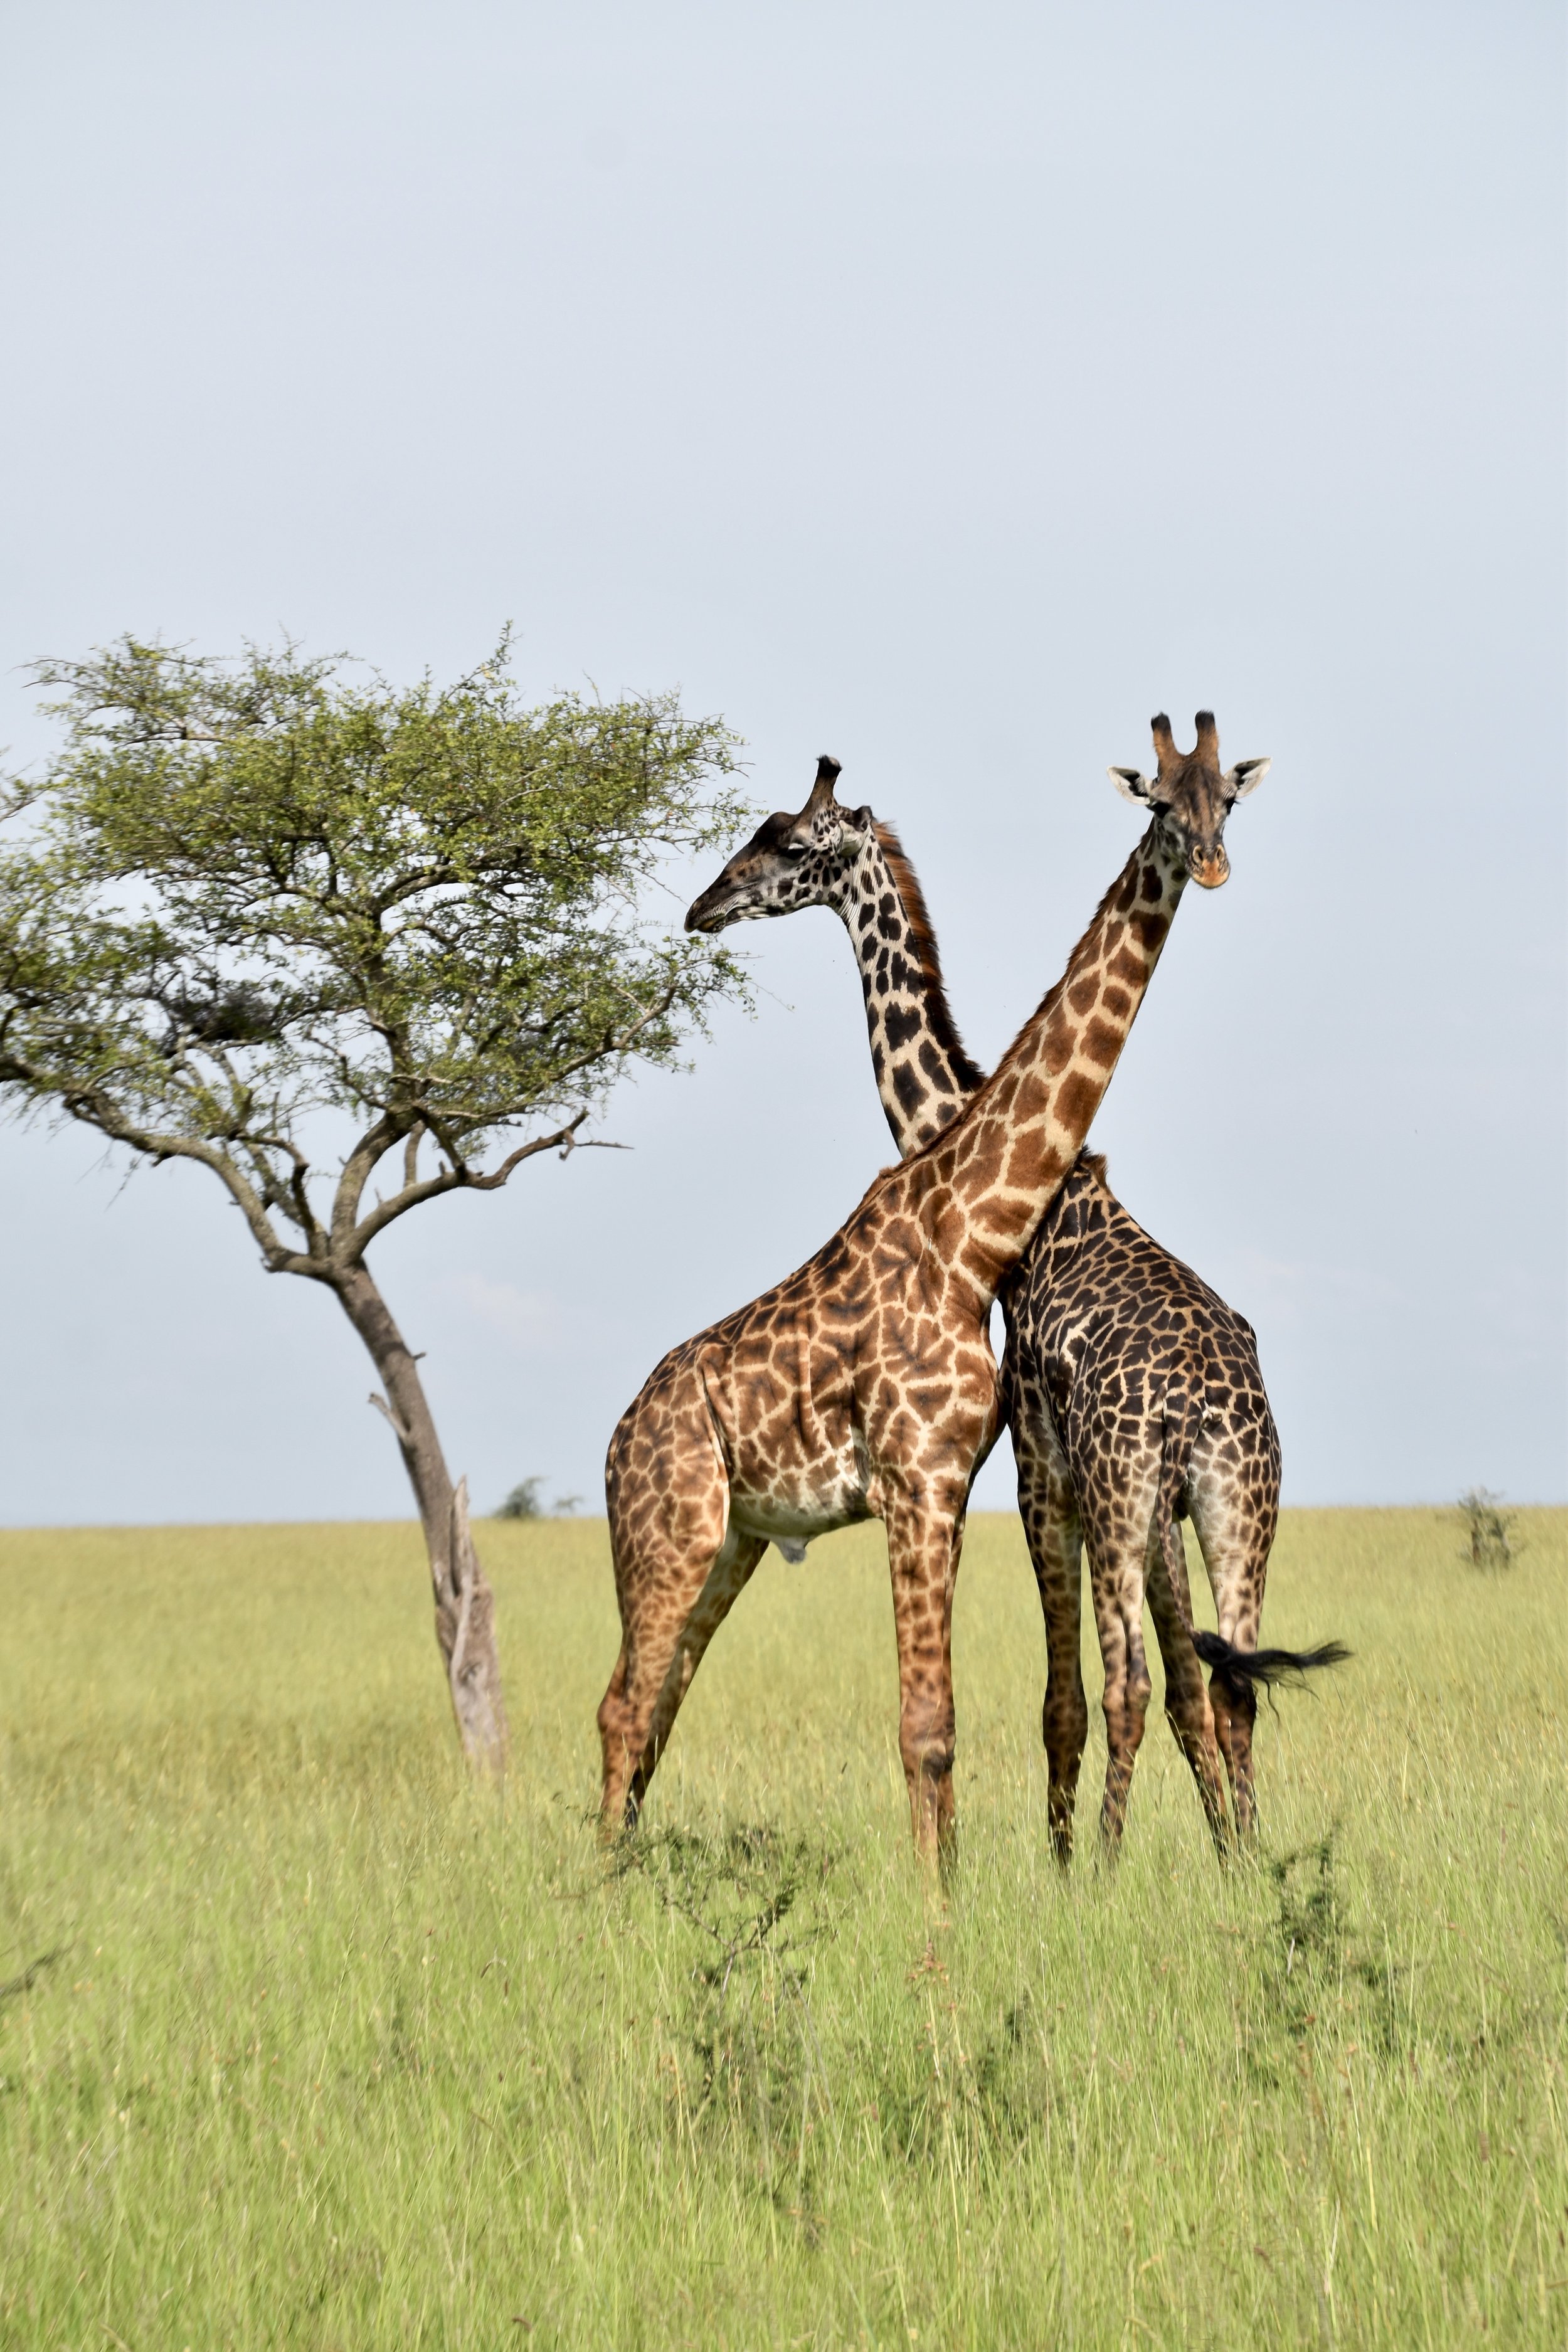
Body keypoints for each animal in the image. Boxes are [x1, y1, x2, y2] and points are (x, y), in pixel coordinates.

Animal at [599, 717, 1268, 1863]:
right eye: (1159, 801)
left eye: (785, 843)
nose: (703, 906)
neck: (971, 1222)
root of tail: (617, 1438)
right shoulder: (963, 1477)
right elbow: (961, 1722)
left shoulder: (975, 1477)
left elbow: (976, 1719)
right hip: (680, 1533)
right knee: (627, 1705)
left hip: (732, 1539)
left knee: (652, 1703)